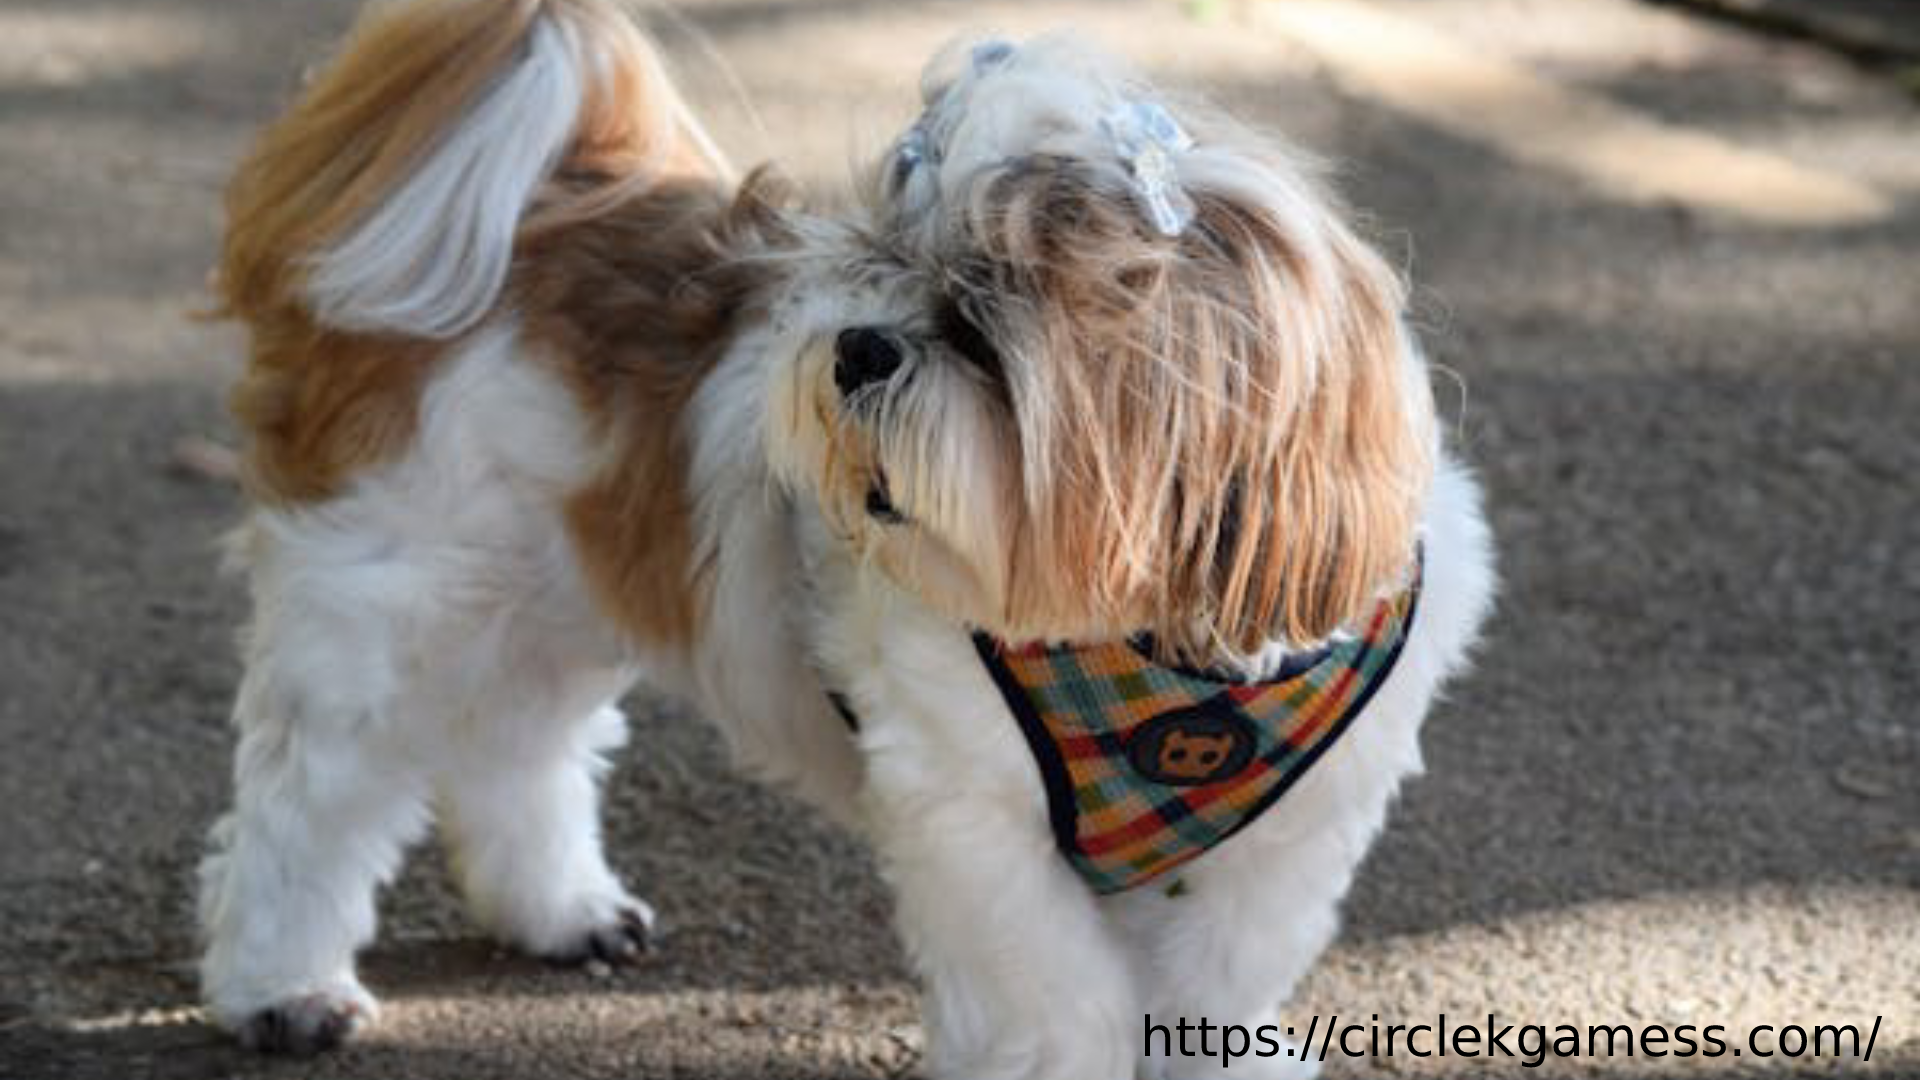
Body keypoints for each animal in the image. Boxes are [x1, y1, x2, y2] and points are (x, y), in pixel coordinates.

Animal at [194, 0, 1489, 1068]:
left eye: (979, 322)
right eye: (883, 267)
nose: (860, 346)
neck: (1144, 650)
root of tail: (523, 205)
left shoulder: (1275, 854)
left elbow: (1214, 995)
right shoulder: (980, 835)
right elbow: (1057, 1012)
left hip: (550, 597)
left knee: (518, 751)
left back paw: (562, 913)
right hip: (385, 606)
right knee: (309, 807)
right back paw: (284, 986)